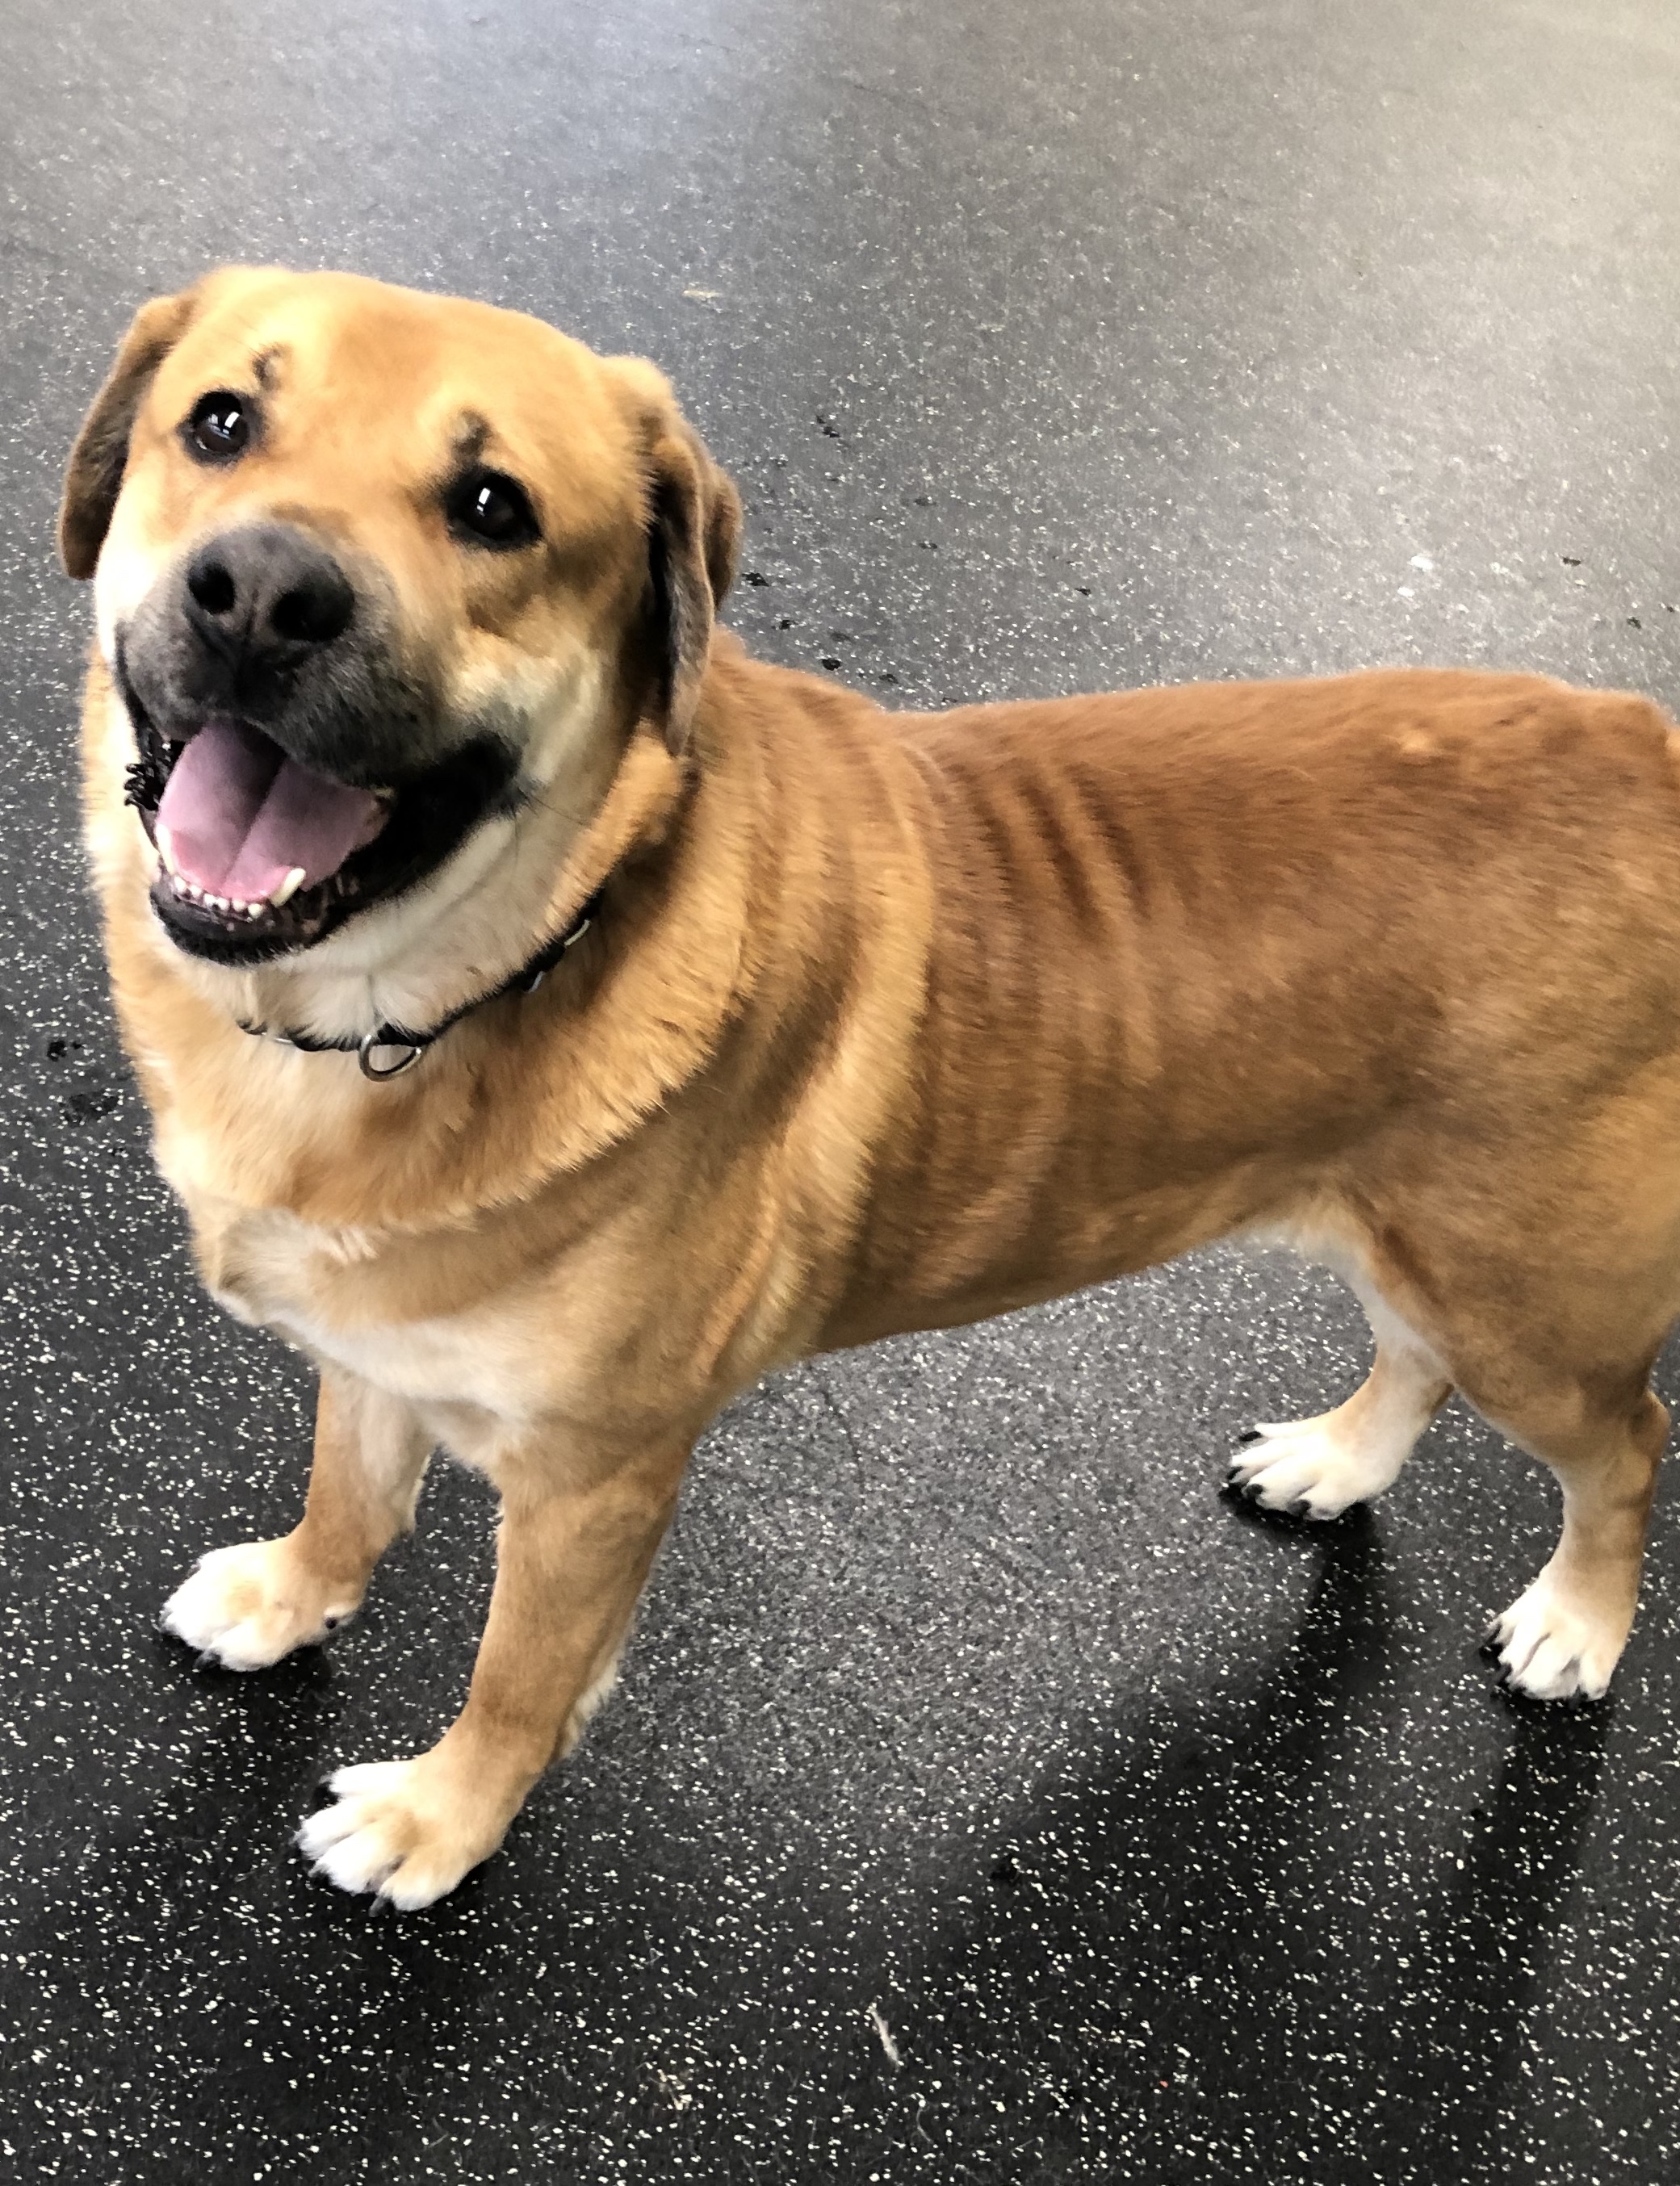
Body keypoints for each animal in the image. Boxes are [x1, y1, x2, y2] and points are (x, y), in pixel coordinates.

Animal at [59, 273, 1680, 1906]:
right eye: (221, 422)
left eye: (492, 506)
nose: (261, 592)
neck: (441, 997)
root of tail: (1645, 742)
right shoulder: (374, 1345)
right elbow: (347, 1494)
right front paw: (289, 1594)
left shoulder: (592, 1484)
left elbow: (517, 1682)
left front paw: (435, 1818)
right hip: (1426, 1241)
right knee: (1413, 1355)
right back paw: (1337, 1462)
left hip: (1532, 1303)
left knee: (1625, 1446)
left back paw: (1576, 1621)